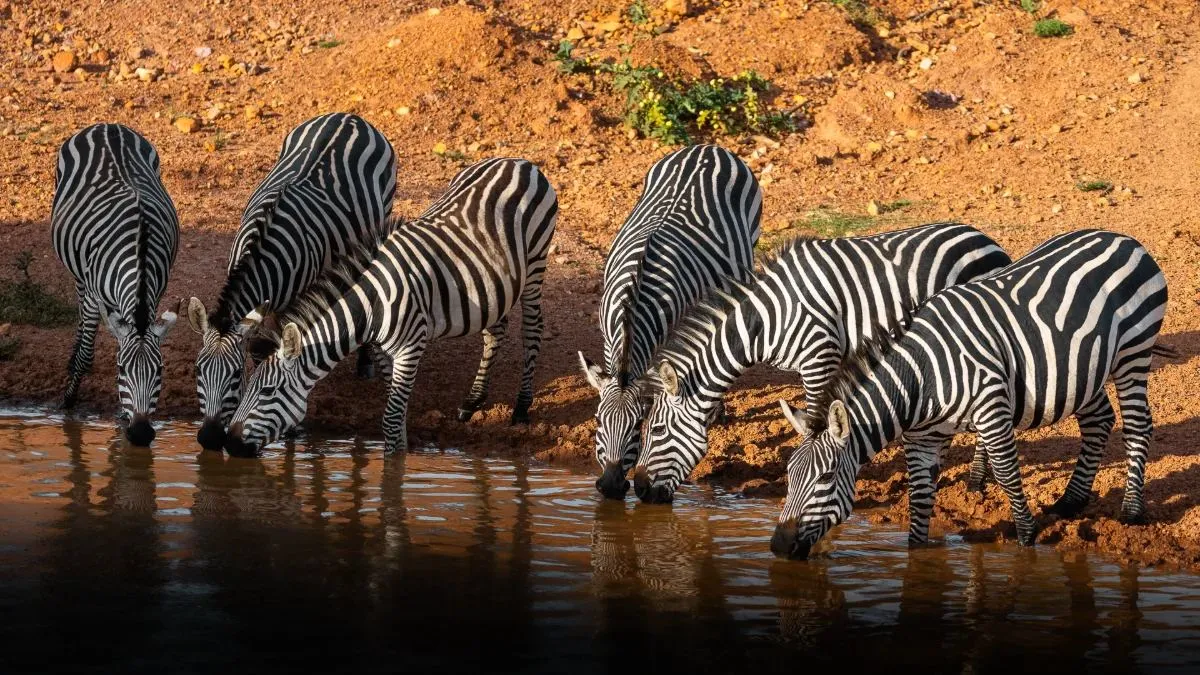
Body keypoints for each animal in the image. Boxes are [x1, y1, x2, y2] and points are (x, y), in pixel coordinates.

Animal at [51, 123, 180, 446]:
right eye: (122, 370)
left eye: (160, 370)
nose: (142, 433)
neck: (139, 250)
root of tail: (108, 126)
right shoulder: (95, 294)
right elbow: (86, 355)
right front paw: (68, 404)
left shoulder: (154, 293)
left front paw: (123, 415)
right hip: (79, 273)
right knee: (80, 308)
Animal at [184, 112, 397, 452]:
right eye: (196, 370)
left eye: (236, 375)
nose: (209, 438)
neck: (262, 254)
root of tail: (349, 116)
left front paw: (293, 427)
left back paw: (365, 364)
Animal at [220, 156, 557, 457]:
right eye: (244, 389)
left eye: (267, 392)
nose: (230, 444)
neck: (372, 305)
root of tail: (518, 162)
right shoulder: (383, 351)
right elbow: (396, 409)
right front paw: (402, 449)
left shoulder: (410, 347)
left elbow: (391, 419)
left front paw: (394, 468)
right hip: (492, 283)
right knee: (494, 331)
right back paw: (472, 402)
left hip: (536, 264)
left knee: (532, 331)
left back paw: (521, 408)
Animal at [633, 222, 1013, 503]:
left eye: (656, 430)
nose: (639, 490)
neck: (768, 319)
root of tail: (985, 239)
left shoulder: (819, 357)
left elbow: (815, 417)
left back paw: (976, 481)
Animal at [769, 228, 1172, 560]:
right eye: (788, 475)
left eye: (825, 478)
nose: (777, 546)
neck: (921, 378)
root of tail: (1124, 239)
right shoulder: (921, 439)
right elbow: (920, 499)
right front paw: (919, 558)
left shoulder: (992, 409)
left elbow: (1007, 474)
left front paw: (1027, 540)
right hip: (1083, 369)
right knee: (1099, 420)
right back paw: (1070, 502)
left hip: (1133, 352)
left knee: (1138, 426)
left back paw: (1131, 511)